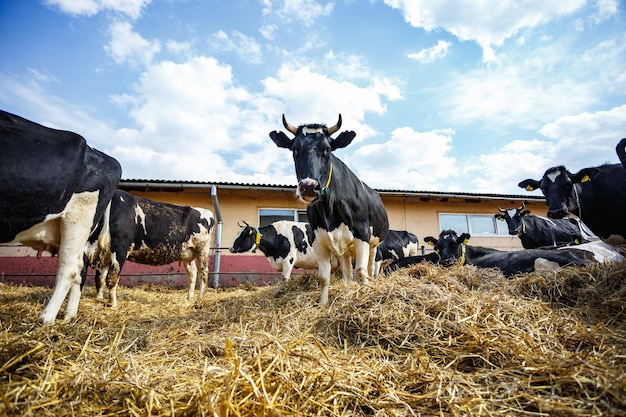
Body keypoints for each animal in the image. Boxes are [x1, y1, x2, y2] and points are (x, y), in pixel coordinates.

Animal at [83, 190, 214, 308]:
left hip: (202, 250)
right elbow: (100, 278)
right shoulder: (102, 252)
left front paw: (113, 304)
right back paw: (189, 299)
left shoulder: (120, 248)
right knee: (192, 273)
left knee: (203, 273)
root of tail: (206, 211)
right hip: (187, 253)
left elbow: (112, 277)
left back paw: (199, 301)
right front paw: (99, 298)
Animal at [270, 115, 388, 304]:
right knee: (347, 274)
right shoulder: (319, 241)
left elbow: (361, 273)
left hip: (374, 244)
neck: (330, 212)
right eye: (294, 149)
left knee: (370, 270)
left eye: (327, 149)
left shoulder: (362, 234)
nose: (309, 187)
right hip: (343, 250)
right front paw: (323, 304)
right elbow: (325, 277)